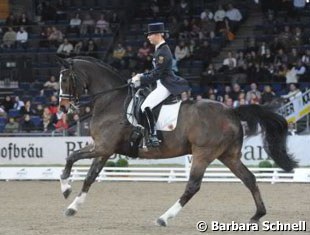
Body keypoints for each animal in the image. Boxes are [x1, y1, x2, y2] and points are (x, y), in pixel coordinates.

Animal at [57, 56, 298, 227]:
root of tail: (231, 111)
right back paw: (258, 214)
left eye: (66, 79)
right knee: (249, 179)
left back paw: (164, 218)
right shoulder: (105, 150)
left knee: (193, 186)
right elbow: (89, 176)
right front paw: (72, 206)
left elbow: (71, 157)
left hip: (203, 153)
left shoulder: (103, 146)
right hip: (228, 155)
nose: (63, 108)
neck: (111, 101)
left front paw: (65, 189)